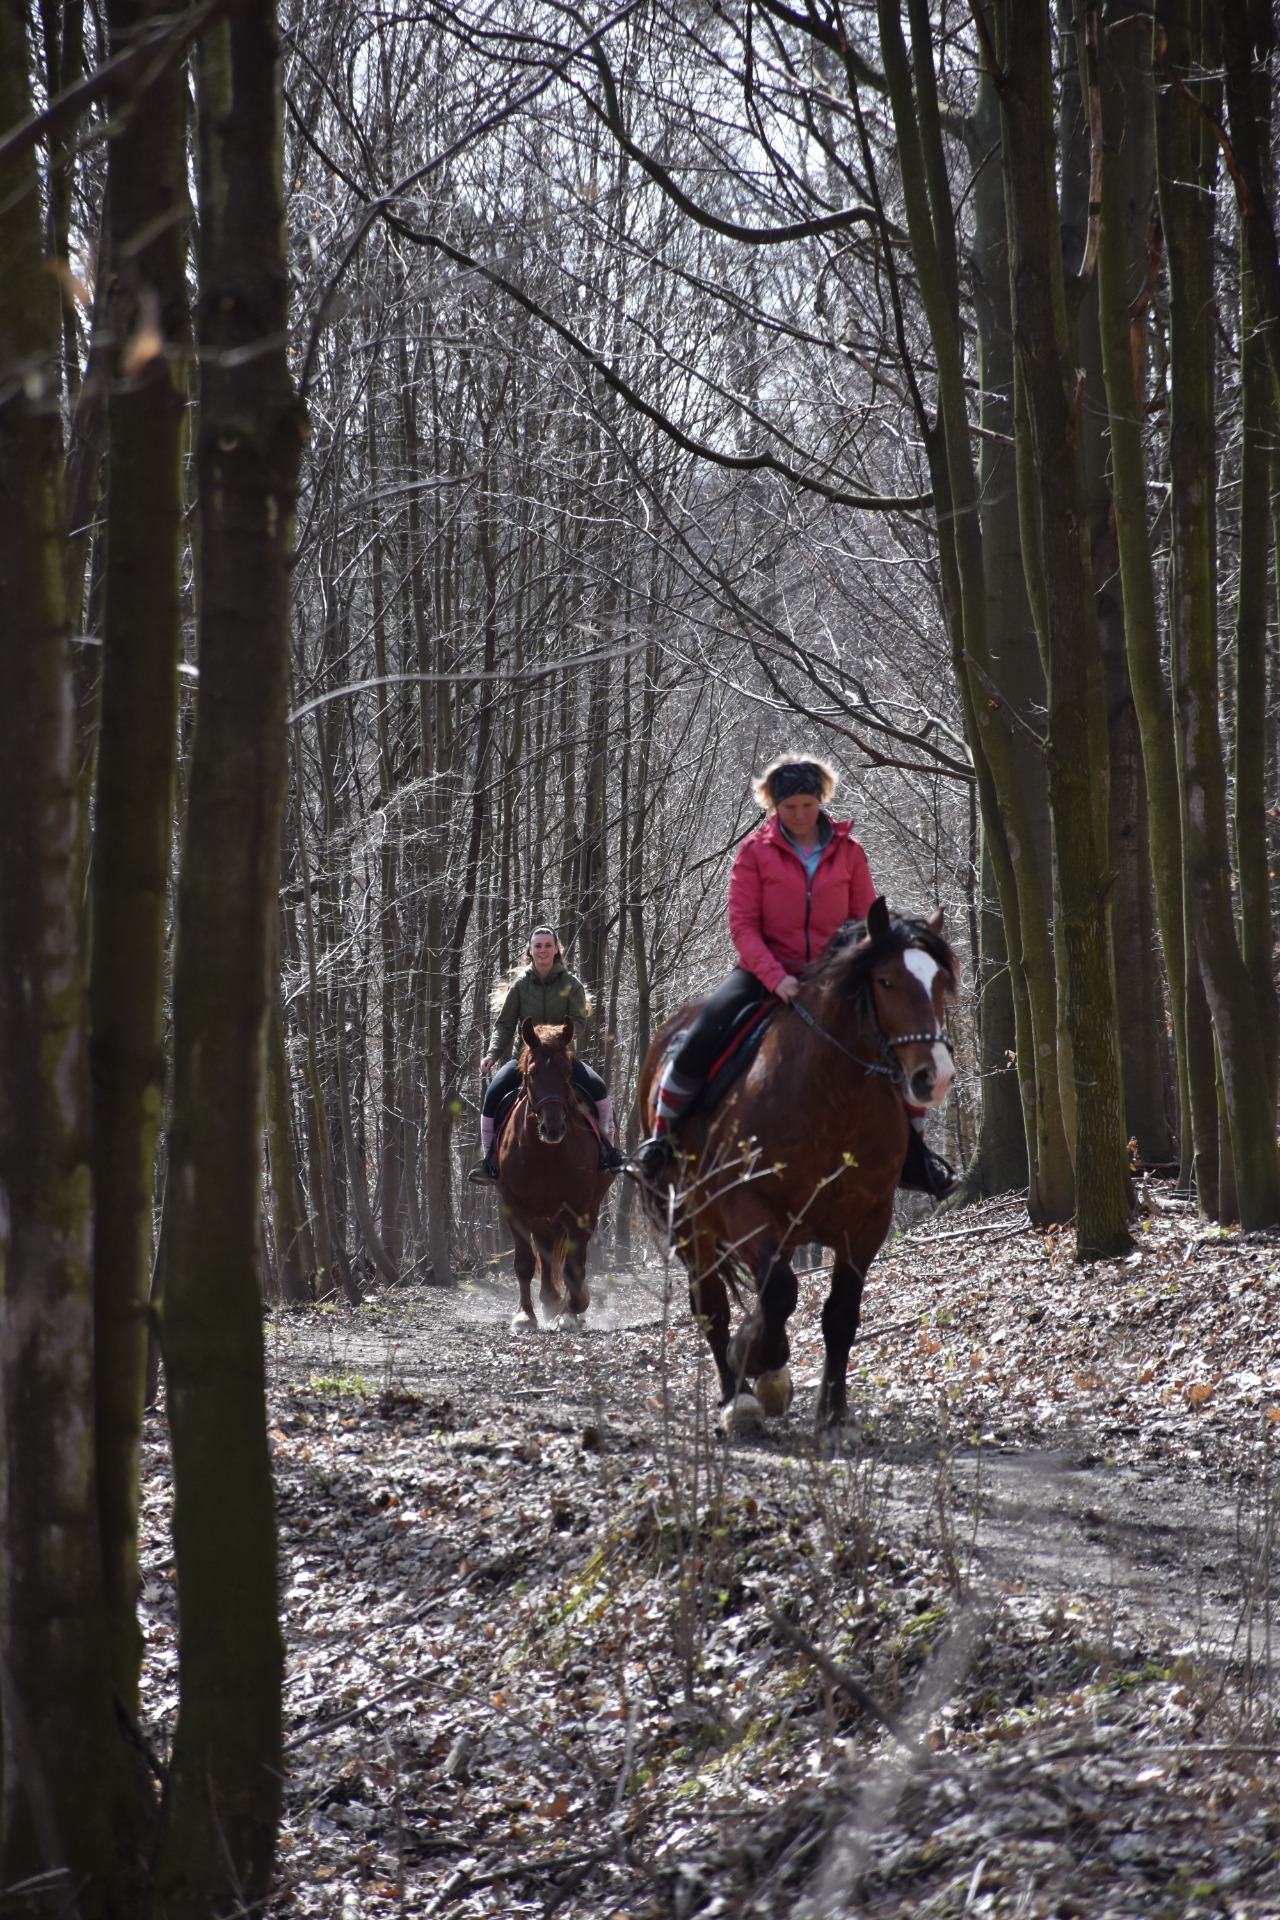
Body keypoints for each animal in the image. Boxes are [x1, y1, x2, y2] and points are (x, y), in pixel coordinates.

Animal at [496, 1018, 616, 1331]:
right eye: (531, 1073)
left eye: (566, 1072)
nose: (552, 1128)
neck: (544, 1153)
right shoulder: (515, 1208)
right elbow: (524, 1263)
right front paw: (525, 1315)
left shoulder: (577, 1210)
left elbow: (573, 1265)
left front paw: (573, 1311)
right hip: (542, 1216)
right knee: (546, 1248)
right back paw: (549, 1301)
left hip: (587, 1209)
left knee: (574, 1255)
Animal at [635, 899, 958, 1433]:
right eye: (886, 981)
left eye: (939, 983)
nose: (934, 1077)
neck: (831, 1096)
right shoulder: (749, 1209)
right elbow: (780, 1293)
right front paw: (752, 1355)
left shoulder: (867, 1222)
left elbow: (839, 1314)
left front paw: (833, 1410)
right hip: (692, 1226)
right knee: (712, 1306)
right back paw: (739, 1398)